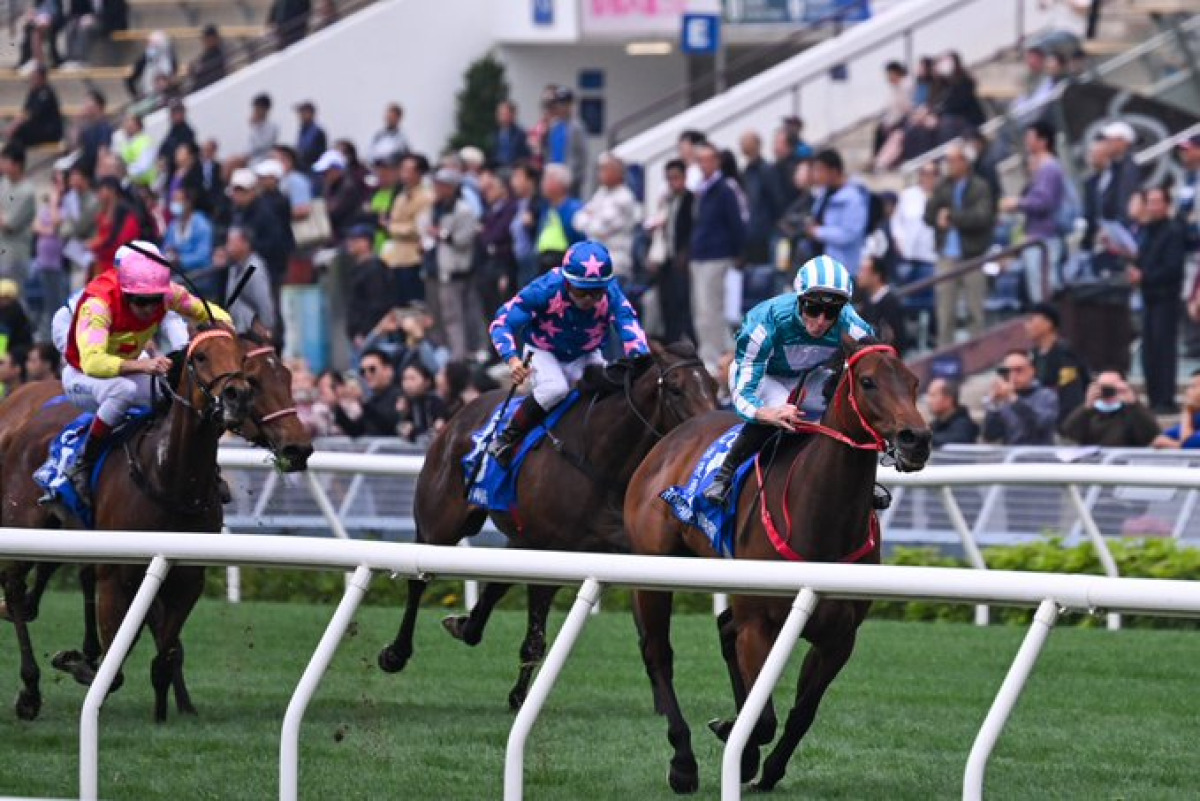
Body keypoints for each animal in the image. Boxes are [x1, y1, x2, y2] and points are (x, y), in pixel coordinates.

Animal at [0, 323, 254, 721]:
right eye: (200, 356)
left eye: (242, 355)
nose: (237, 396)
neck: (169, 476)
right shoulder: (116, 575)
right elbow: (114, 666)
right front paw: (78, 662)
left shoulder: (187, 578)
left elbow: (164, 654)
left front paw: (165, 713)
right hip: (26, 525)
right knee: (13, 586)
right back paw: (29, 688)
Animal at [377, 341, 718, 709]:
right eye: (676, 389)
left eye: (715, 386)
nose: (710, 432)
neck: (602, 459)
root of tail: (461, 414)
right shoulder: (552, 550)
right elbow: (535, 639)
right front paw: (519, 697)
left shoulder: (628, 556)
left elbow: (649, 633)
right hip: (442, 522)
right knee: (418, 581)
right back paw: (396, 653)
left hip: (521, 537)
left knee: (495, 584)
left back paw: (467, 626)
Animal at [623, 338, 932, 794]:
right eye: (868, 381)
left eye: (913, 382)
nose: (917, 440)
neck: (820, 519)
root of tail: (670, 440)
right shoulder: (760, 627)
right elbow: (764, 716)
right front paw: (739, 745)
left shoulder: (838, 638)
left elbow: (801, 713)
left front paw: (763, 768)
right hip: (654, 569)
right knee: (658, 652)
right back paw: (683, 763)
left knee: (724, 631)